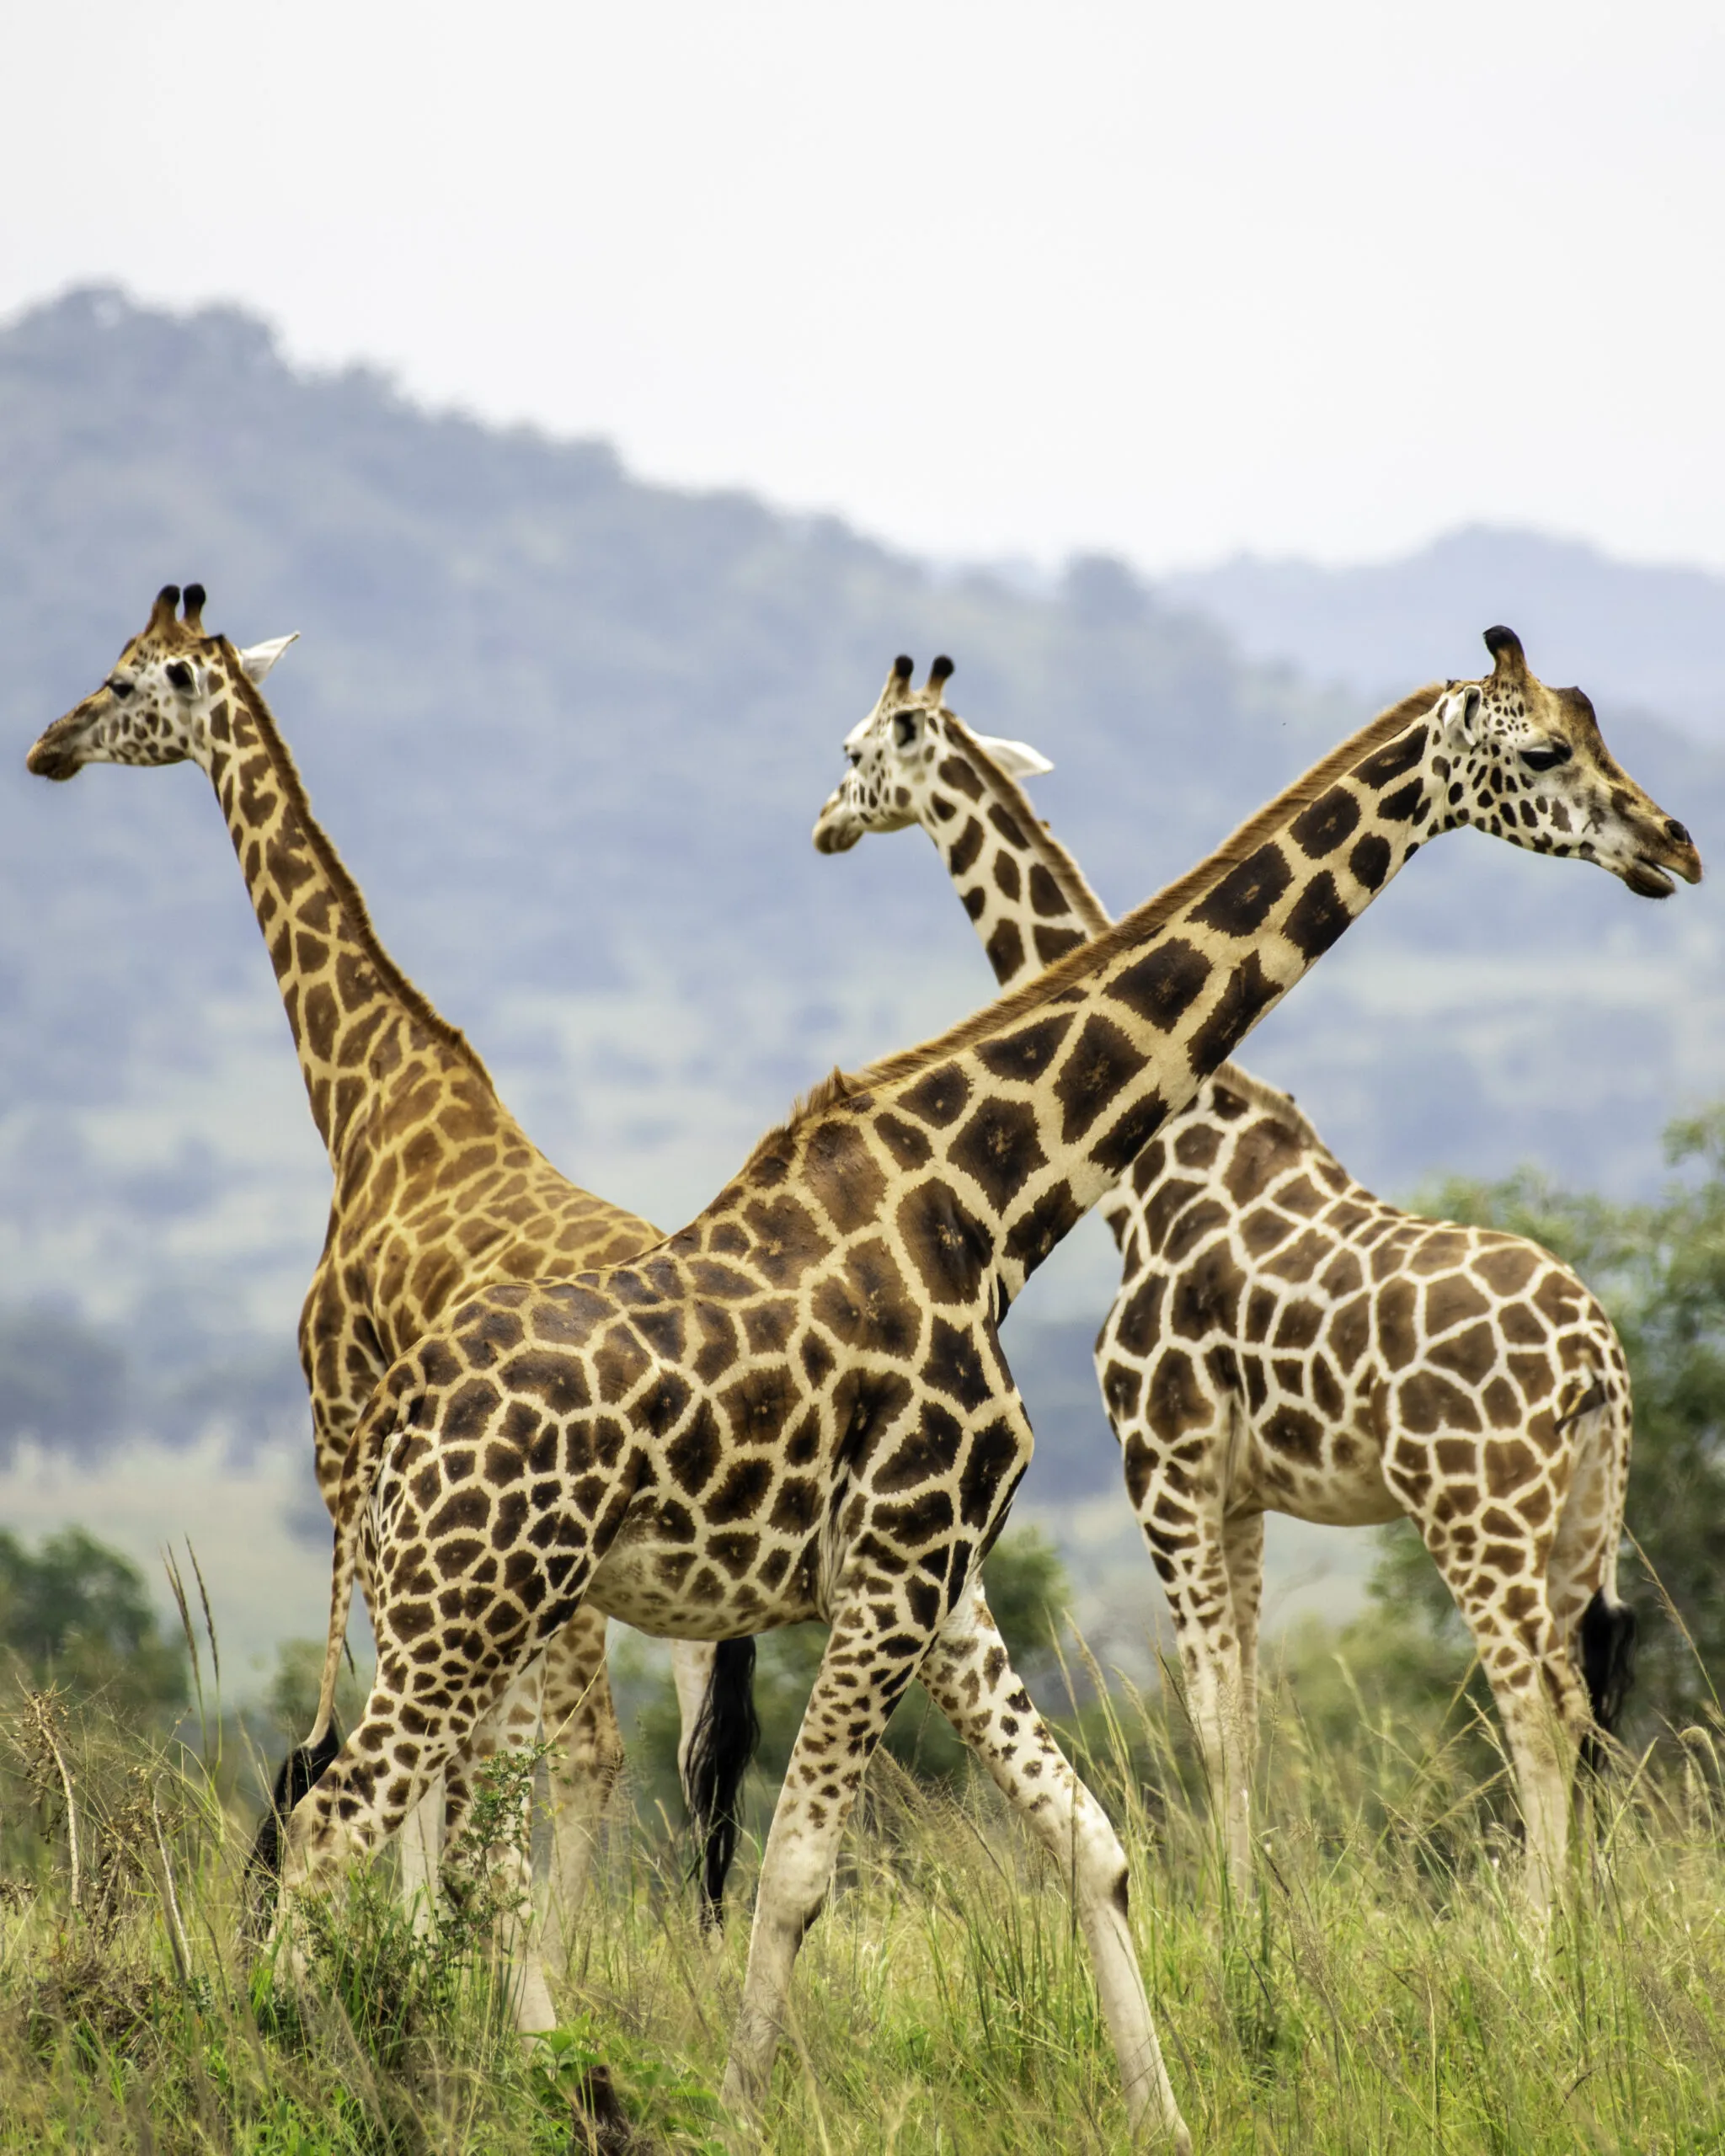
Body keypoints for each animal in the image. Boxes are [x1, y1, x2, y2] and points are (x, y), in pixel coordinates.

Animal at [24, 583, 758, 1963]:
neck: (367, 1102)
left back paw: (546, 1963)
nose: (44, 745)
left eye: (124, 679)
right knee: (713, 1759)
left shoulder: (338, 1437)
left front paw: (404, 1943)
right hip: (715, 1572)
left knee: (596, 1750)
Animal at [813, 653, 1643, 1905]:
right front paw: (1252, 1909)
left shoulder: (1163, 1459)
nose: (824, 823)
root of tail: (1594, 1359)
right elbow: (1247, 1709)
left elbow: (1209, 1716)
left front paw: (1230, 1920)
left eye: (858, 752)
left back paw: (1540, 1936)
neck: (1153, 1173)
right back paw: (1587, 1925)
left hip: (1478, 1509)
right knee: (1585, 1705)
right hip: (1589, 1511)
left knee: (1535, 1710)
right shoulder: (1243, 1490)